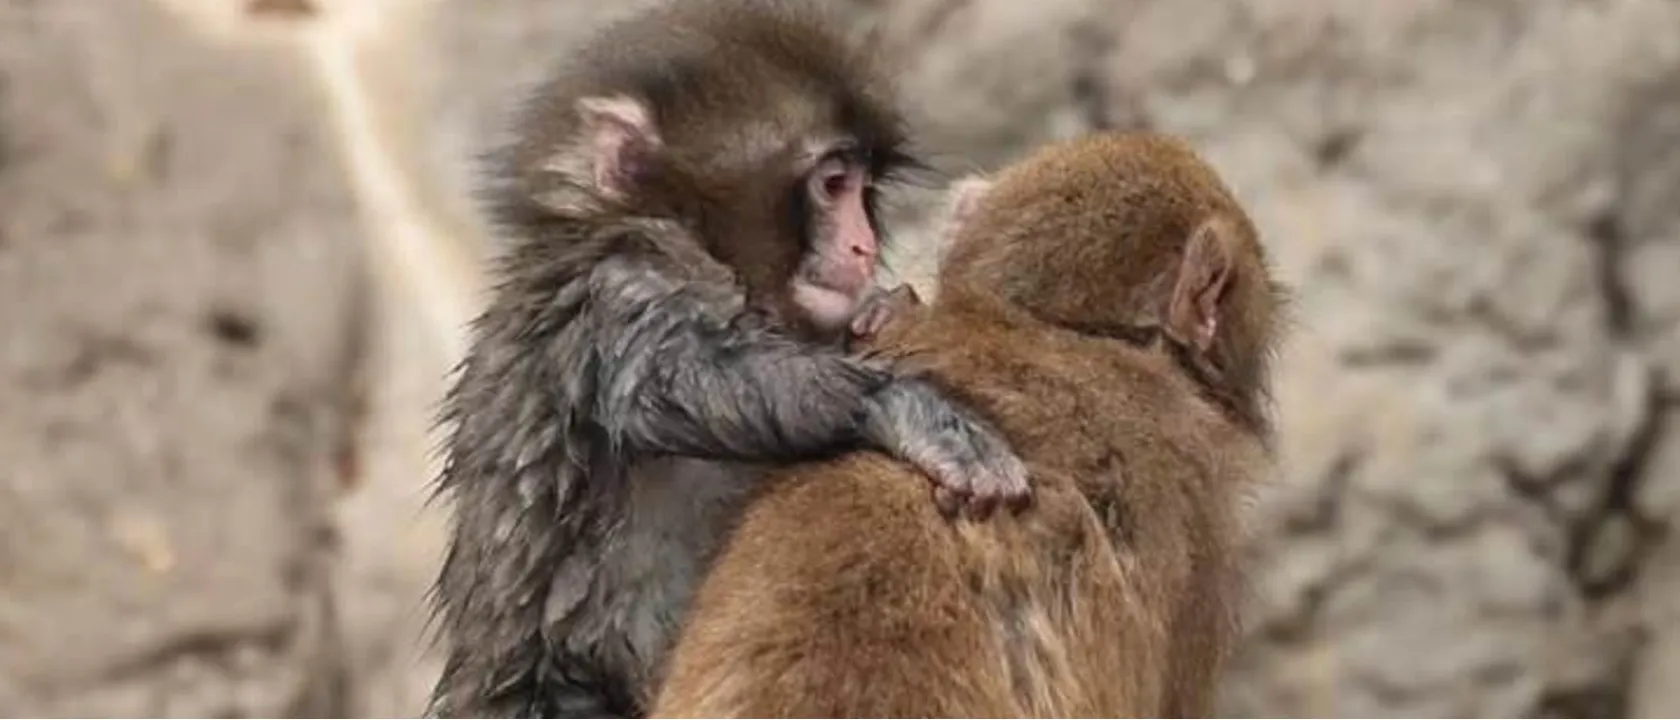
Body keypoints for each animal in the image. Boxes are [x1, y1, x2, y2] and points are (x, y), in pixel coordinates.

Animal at [424, 1, 1033, 717]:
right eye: (833, 184)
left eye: (863, 188)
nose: (862, 244)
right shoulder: (622, 280)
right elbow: (673, 374)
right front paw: (904, 407)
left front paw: (884, 310)